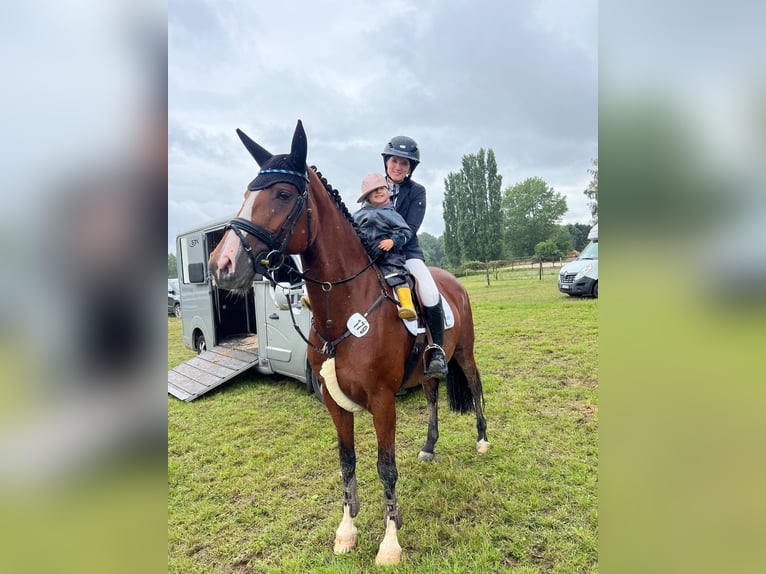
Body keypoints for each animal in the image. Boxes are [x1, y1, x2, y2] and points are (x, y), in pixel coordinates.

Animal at [207, 120, 488, 568]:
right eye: (246, 193)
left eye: (282, 194)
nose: (222, 265)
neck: (344, 308)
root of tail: (453, 282)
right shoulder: (336, 404)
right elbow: (347, 461)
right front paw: (347, 530)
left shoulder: (383, 402)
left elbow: (385, 467)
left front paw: (390, 543)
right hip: (430, 366)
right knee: (431, 394)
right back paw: (428, 447)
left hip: (465, 352)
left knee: (476, 386)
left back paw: (482, 439)